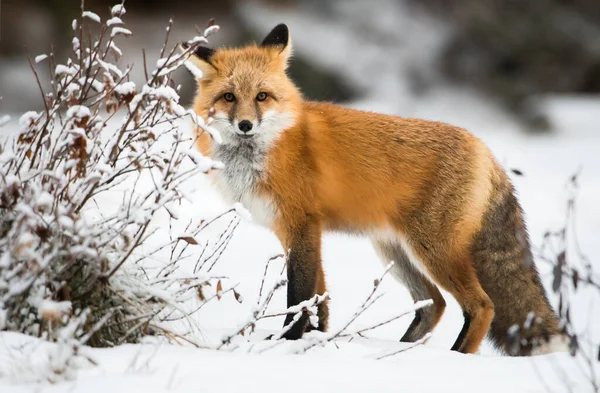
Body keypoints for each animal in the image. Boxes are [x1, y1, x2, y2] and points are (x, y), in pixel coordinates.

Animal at [183, 24, 568, 356]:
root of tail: (485, 149)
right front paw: (315, 339)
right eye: (229, 97)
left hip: (433, 250)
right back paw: (402, 350)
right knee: (434, 304)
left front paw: (287, 342)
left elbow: (300, 295)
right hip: (395, 252)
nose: (245, 125)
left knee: (482, 306)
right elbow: (320, 297)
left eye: (262, 96)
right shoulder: (294, 231)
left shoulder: (302, 226)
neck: (267, 150)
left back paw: (455, 357)